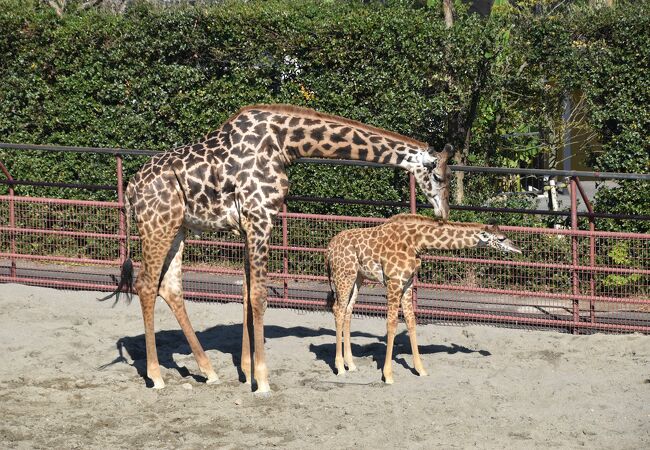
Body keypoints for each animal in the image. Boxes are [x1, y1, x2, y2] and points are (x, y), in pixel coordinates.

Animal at [106, 103, 450, 392]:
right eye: (438, 176)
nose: (444, 212)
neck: (285, 144)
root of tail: (131, 188)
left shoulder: (249, 225)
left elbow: (246, 294)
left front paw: (246, 372)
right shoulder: (261, 218)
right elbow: (259, 296)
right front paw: (262, 380)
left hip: (178, 229)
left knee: (171, 287)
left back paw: (209, 371)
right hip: (157, 226)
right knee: (146, 284)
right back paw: (156, 376)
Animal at [326, 214, 520, 384]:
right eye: (501, 238)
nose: (518, 248)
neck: (417, 242)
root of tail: (328, 249)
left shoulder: (407, 283)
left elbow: (411, 321)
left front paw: (421, 370)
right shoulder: (394, 281)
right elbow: (392, 324)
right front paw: (388, 375)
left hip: (357, 278)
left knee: (347, 311)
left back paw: (351, 365)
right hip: (344, 275)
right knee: (338, 310)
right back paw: (340, 368)